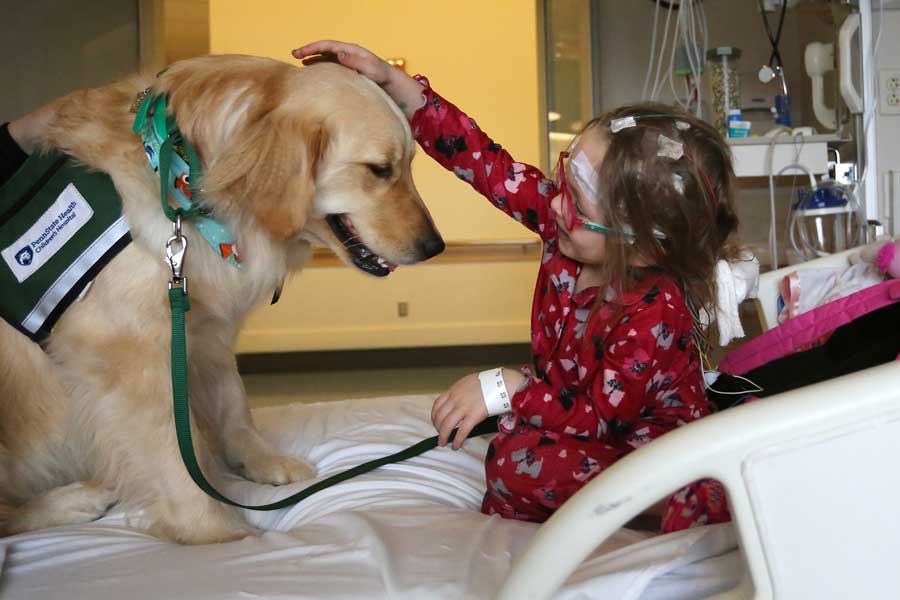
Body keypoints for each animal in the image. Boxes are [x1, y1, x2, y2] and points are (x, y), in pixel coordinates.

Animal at [0, 55, 442, 544]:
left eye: (409, 164)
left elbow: (233, 402)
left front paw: (263, 462)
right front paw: (218, 532)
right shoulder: (126, 352)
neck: (183, 176)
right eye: (379, 170)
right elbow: (173, 453)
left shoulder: (201, 324)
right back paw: (72, 500)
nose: (435, 246)